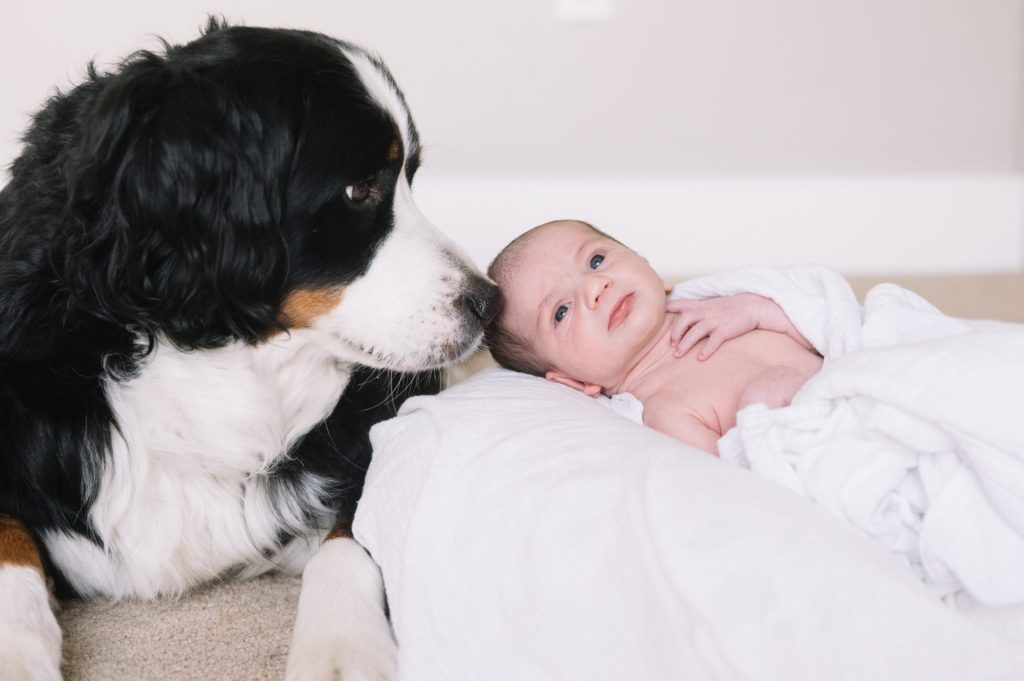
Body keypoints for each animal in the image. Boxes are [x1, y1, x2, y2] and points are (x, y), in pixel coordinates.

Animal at [0, 18, 495, 675]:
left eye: (409, 179)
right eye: (360, 189)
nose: (491, 302)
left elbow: (351, 539)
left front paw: (342, 650)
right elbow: (9, 541)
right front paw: (14, 654)